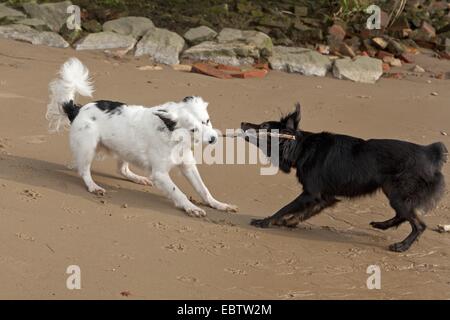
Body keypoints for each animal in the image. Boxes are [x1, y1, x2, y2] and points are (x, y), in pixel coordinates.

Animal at [46, 57, 237, 218]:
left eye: (207, 121)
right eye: (193, 129)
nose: (213, 139)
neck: (174, 137)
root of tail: (78, 109)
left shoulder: (188, 166)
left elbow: (203, 189)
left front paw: (217, 204)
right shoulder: (160, 173)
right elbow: (178, 192)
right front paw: (191, 207)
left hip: (125, 149)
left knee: (121, 170)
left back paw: (137, 178)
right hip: (88, 148)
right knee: (84, 170)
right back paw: (94, 186)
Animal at [241, 105, 444, 252]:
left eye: (264, 127)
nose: (242, 122)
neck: (301, 147)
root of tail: (430, 153)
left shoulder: (311, 193)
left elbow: (285, 208)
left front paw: (266, 221)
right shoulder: (324, 197)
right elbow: (305, 212)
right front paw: (289, 222)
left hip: (398, 194)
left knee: (418, 224)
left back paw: (402, 246)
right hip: (392, 191)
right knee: (404, 215)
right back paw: (382, 225)